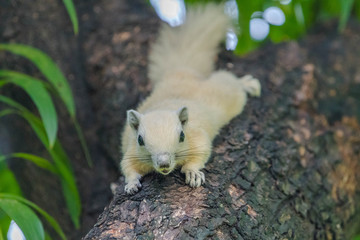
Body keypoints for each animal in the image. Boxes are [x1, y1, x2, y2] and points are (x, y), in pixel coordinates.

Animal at [119, 3, 260, 194]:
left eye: (182, 136)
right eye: (140, 140)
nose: (164, 164)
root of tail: (180, 72)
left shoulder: (197, 138)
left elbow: (201, 153)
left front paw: (192, 173)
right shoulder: (131, 152)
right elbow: (127, 167)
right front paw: (131, 184)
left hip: (226, 93)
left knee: (231, 82)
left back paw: (247, 83)